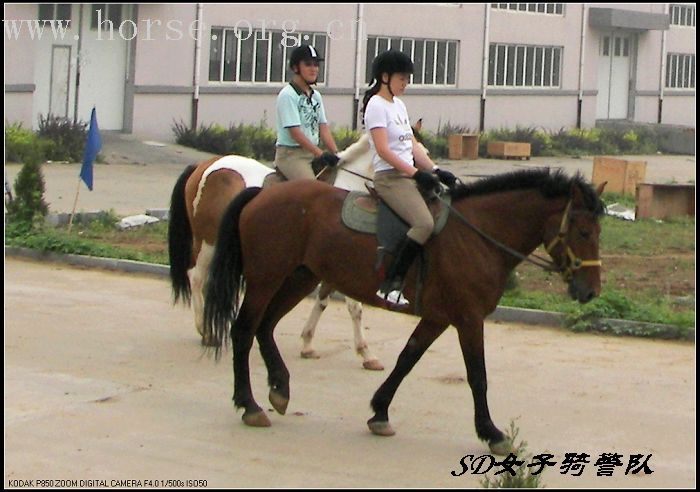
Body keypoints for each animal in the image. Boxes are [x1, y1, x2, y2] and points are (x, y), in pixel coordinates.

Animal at [204, 167, 608, 456]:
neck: (477, 235)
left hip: (299, 277)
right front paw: (492, 433)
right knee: (244, 330)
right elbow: (477, 376)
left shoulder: (438, 317)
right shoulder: (468, 318)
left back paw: (280, 389)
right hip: (266, 279)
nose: (591, 292)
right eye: (584, 232)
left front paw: (380, 412)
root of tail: (263, 193)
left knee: (266, 327)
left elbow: (406, 360)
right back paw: (250, 405)